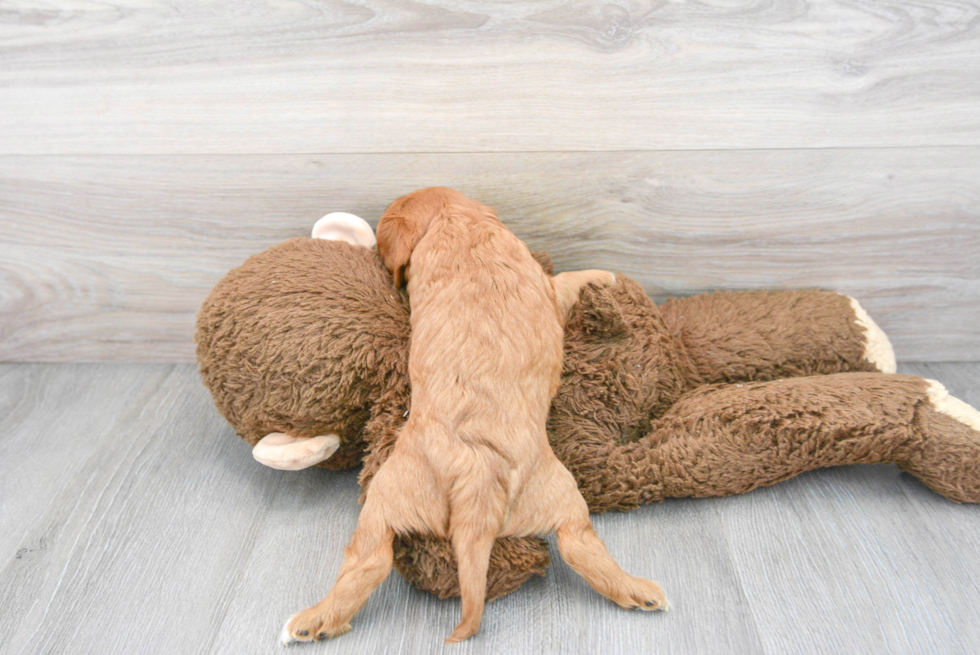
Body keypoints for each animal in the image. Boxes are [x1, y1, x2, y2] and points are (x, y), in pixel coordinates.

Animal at [280, 188, 668, 644]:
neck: (454, 220)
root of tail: (476, 471)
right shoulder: (547, 288)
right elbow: (567, 279)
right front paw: (604, 273)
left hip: (390, 498)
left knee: (370, 558)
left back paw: (315, 620)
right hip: (555, 495)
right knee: (578, 543)